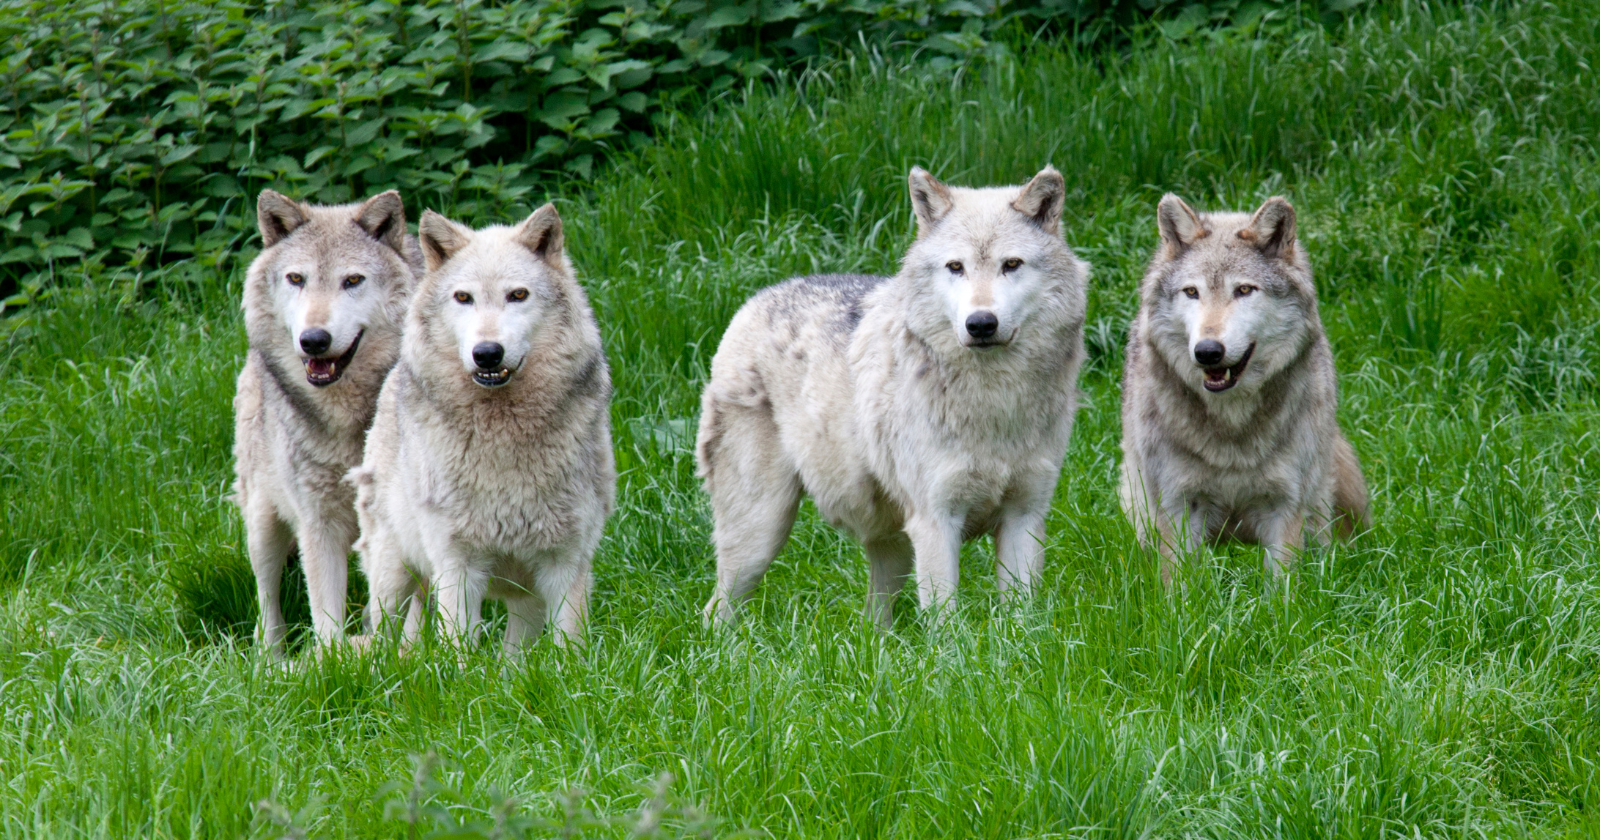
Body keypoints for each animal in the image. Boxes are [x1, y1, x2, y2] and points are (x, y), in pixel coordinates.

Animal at [233, 189, 423, 654]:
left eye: (352, 281)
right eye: (296, 279)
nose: (314, 340)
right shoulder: (318, 522)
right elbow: (326, 617)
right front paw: (335, 664)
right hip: (263, 522)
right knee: (267, 600)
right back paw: (270, 659)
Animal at [350, 204, 614, 654]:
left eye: (518, 295)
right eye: (463, 298)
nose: (487, 352)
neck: (502, 434)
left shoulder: (567, 564)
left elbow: (570, 651)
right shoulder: (458, 565)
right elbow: (459, 651)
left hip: (523, 599)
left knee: (514, 658)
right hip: (393, 574)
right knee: (383, 641)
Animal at [697, 166, 1090, 628]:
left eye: (1011, 265)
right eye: (955, 267)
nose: (980, 323)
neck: (996, 401)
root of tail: (758, 297)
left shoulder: (1024, 518)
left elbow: (1022, 621)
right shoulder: (936, 521)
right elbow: (946, 627)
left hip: (892, 546)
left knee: (873, 619)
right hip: (760, 537)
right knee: (715, 611)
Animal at [1118, 194, 1371, 585]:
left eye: (1244, 290)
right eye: (1192, 292)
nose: (1207, 351)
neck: (1232, 427)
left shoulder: (1284, 505)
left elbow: (1281, 588)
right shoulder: (1178, 505)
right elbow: (1180, 589)